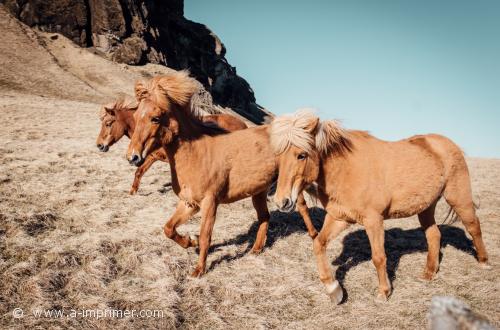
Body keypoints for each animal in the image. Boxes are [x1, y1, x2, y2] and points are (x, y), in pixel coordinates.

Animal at [95, 94, 248, 193]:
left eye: (108, 123)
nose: (99, 145)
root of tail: (243, 124)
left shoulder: (154, 157)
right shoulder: (152, 157)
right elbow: (139, 172)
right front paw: (132, 192)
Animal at [127, 71, 318, 278]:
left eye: (154, 118)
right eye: (135, 115)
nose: (132, 157)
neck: (196, 154)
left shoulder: (210, 202)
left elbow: (205, 236)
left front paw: (199, 270)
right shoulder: (189, 203)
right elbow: (168, 229)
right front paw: (190, 241)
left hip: (288, 185)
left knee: (301, 206)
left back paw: (314, 235)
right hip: (259, 191)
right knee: (264, 217)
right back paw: (256, 249)